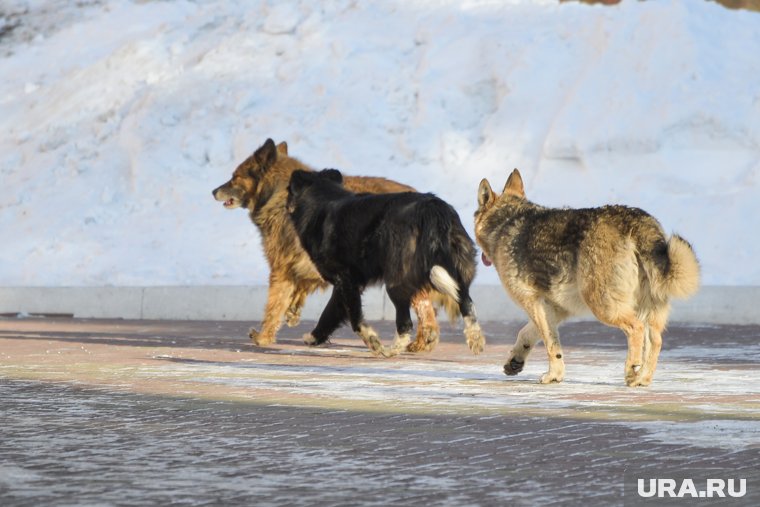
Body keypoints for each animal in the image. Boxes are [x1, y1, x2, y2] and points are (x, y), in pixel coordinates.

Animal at [211, 140, 442, 354]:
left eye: (234, 177)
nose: (213, 191)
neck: (276, 194)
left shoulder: (283, 269)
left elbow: (274, 306)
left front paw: (263, 336)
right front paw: (294, 311)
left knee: (424, 306)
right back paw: (423, 341)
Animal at [288, 171, 484, 358]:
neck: (324, 199)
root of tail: (432, 210)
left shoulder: (345, 280)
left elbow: (351, 318)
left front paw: (371, 340)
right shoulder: (348, 283)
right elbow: (331, 313)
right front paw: (315, 337)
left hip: (396, 281)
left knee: (405, 324)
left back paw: (391, 350)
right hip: (455, 270)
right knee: (466, 303)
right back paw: (475, 340)